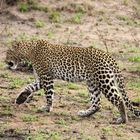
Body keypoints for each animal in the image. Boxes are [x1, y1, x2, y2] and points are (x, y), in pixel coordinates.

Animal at [4, 39, 139, 123]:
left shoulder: (47, 77)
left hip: (104, 81)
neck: (29, 51)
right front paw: (21, 98)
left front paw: (47, 108)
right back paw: (84, 113)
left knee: (119, 99)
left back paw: (122, 120)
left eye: (8, 52)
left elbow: (49, 94)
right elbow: (30, 86)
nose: (5, 61)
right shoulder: (43, 78)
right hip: (92, 83)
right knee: (97, 104)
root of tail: (108, 56)